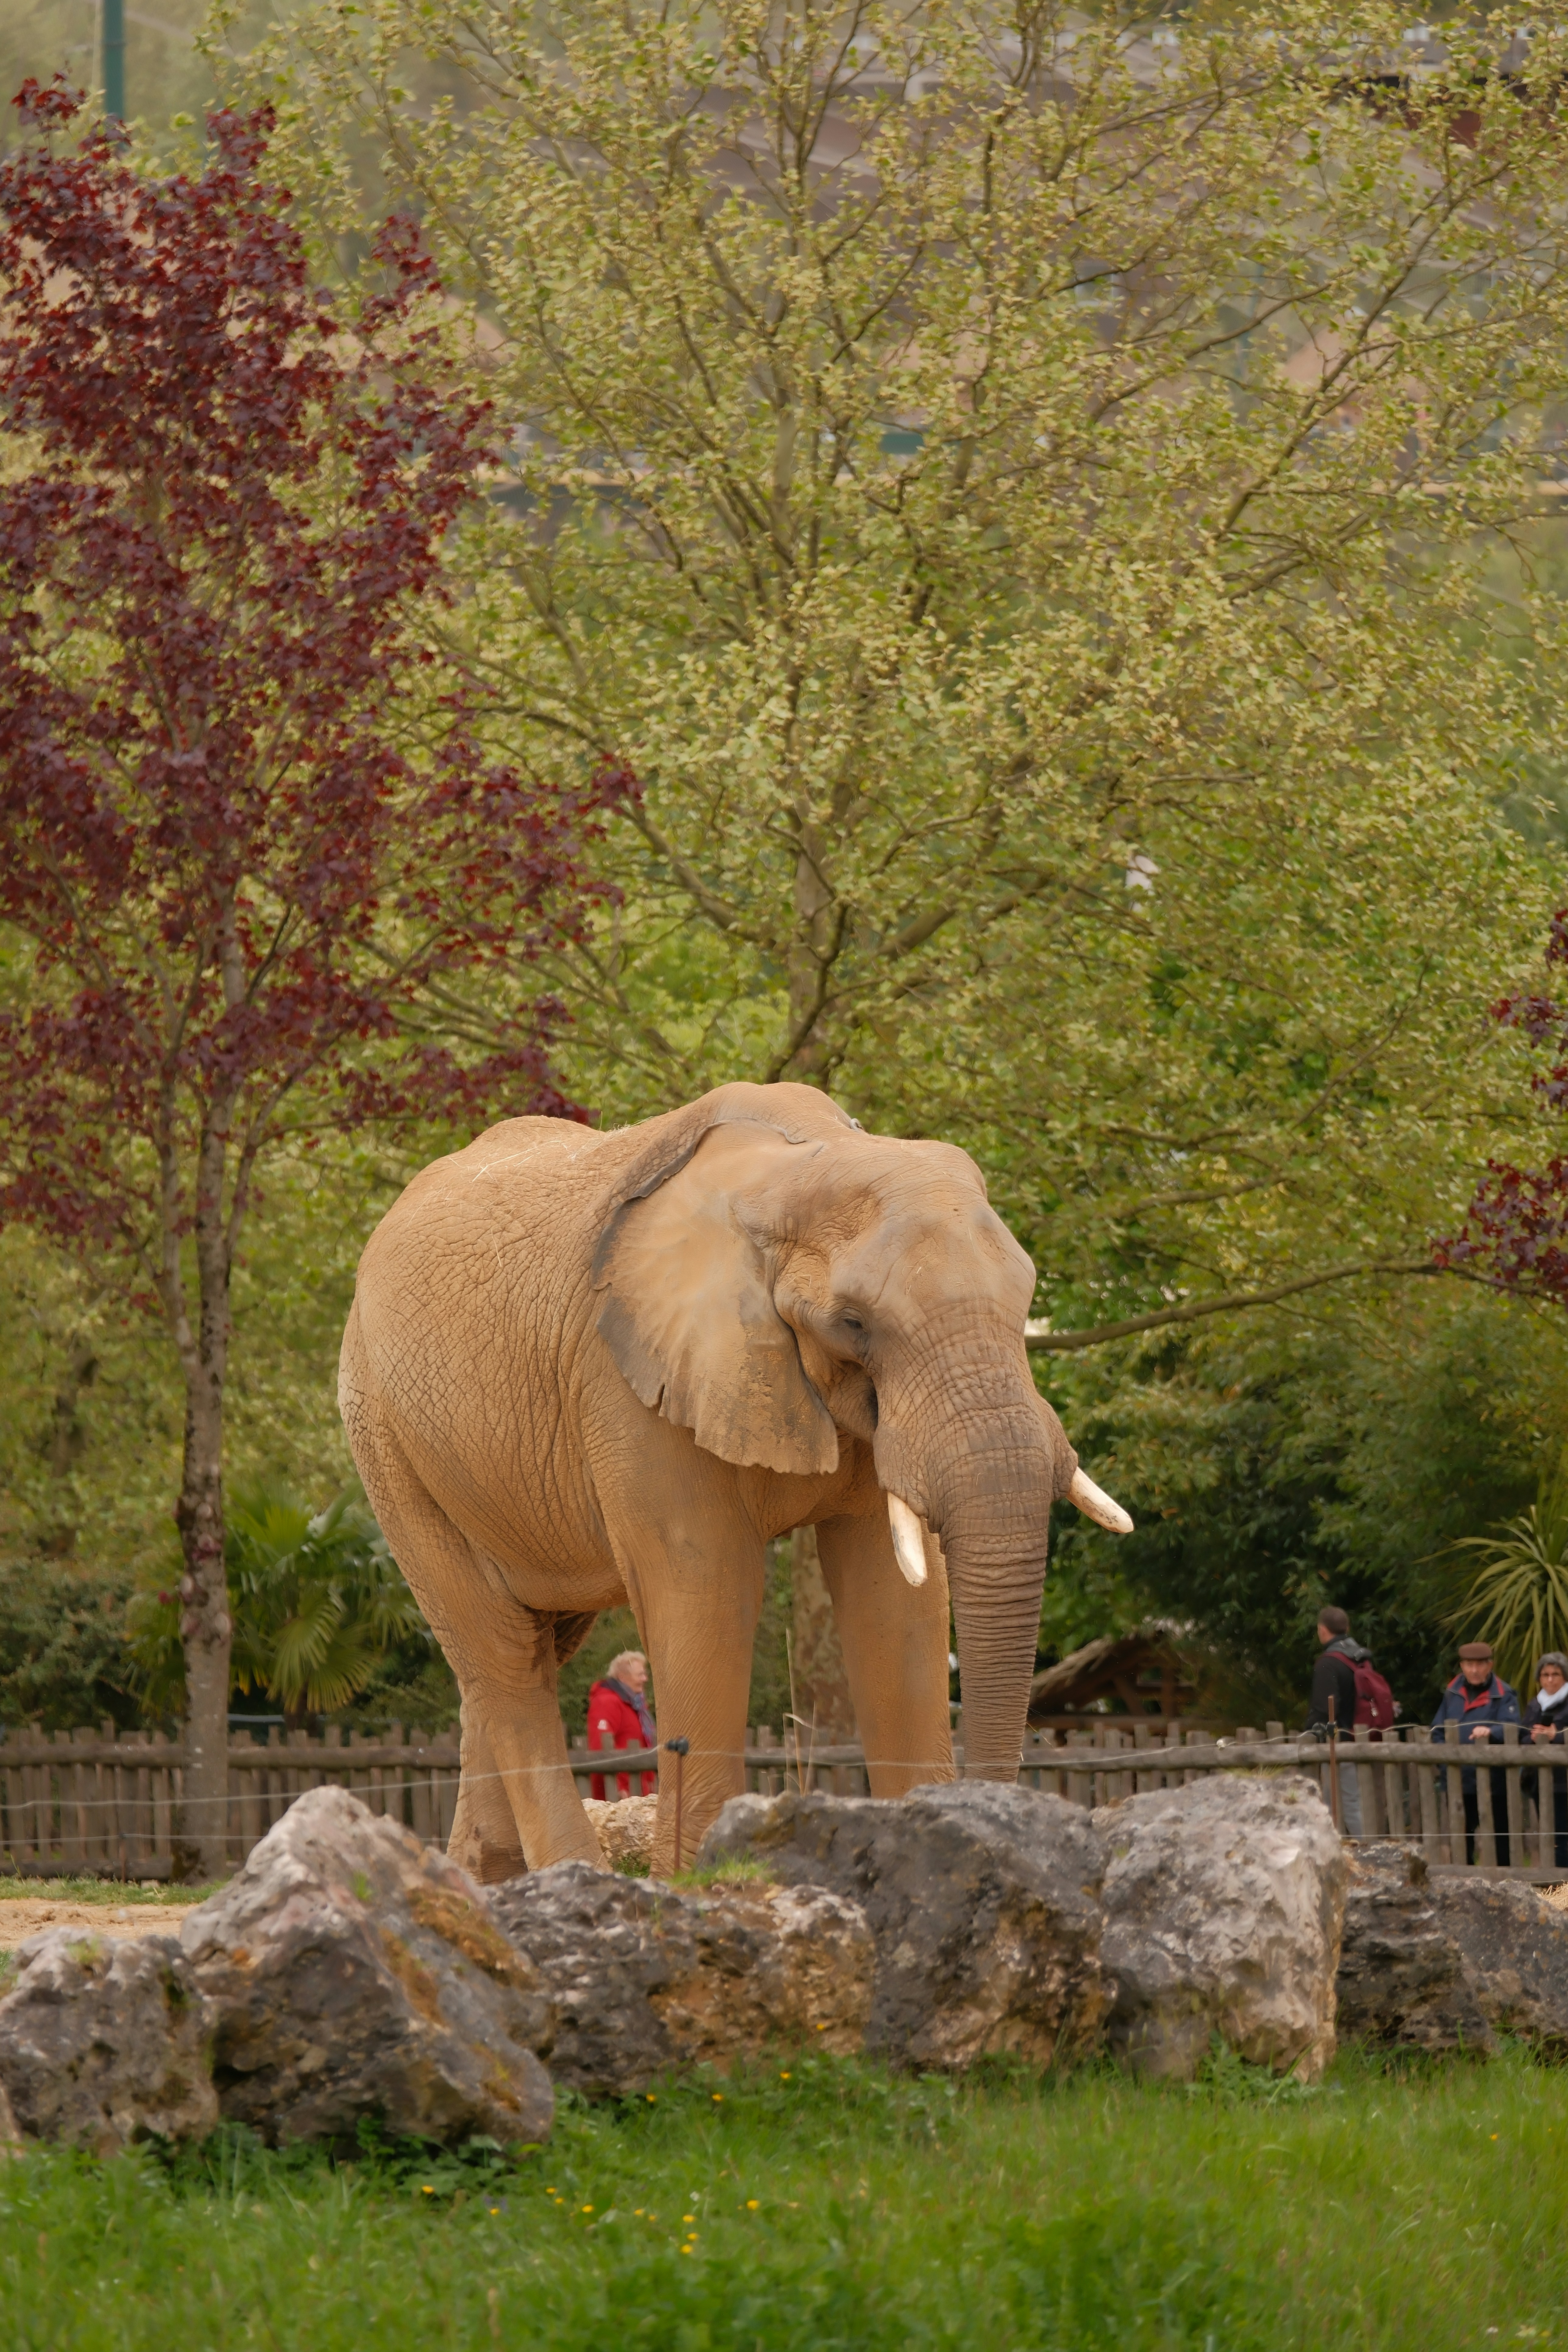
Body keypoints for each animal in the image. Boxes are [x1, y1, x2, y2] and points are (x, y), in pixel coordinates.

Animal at [338, 1081, 1131, 1880]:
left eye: (1027, 1300)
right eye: (853, 1322)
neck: (803, 1162)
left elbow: (897, 1599)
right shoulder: (629, 1380)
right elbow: (707, 1587)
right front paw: (693, 1881)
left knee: (527, 1647)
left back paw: (480, 1880)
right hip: (385, 1439)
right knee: (501, 1655)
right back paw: (568, 1877)